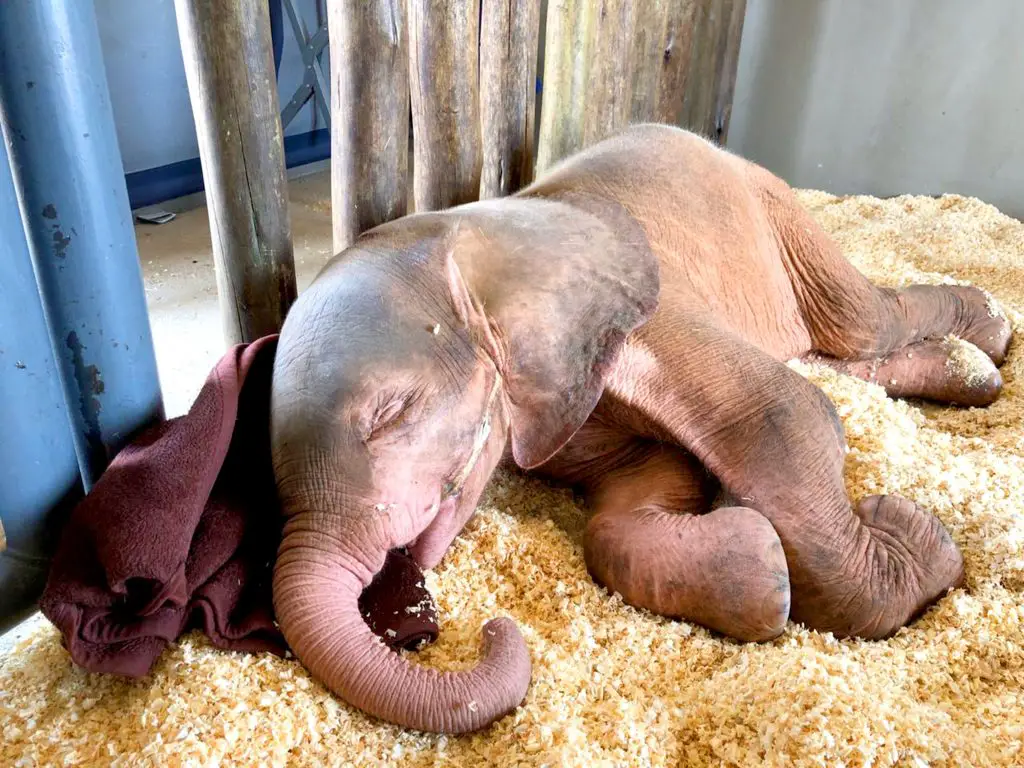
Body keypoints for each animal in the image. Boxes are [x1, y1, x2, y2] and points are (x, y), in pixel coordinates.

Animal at [268, 123, 1011, 737]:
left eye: (391, 414)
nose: (488, 630)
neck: (471, 240)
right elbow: (643, 484)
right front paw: (760, 563)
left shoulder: (646, 308)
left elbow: (779, 412)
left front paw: (918, 544)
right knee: (837, 355)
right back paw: (971, 372)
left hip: (771, 206)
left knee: (862, 322)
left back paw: (989, 331)